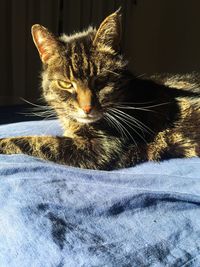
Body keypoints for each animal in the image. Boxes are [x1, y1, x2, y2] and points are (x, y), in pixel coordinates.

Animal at [0, 10, 199, 171]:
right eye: (66, 84)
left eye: (101, 81)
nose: (87, 108)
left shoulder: (100, 149)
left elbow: (40, 142)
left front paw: (3, 142)